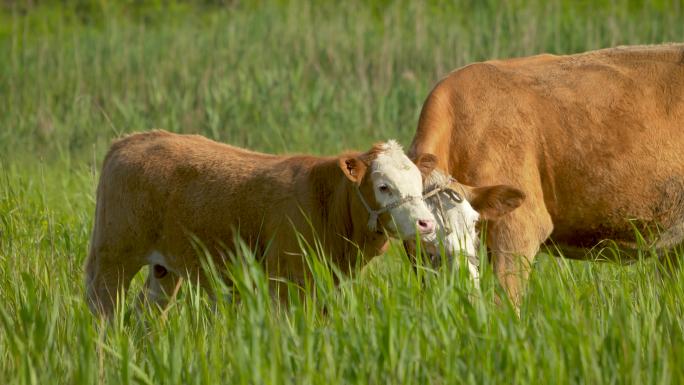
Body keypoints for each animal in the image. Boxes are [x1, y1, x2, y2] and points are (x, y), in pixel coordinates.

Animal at [87, 130, 438, 316]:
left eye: (419, 183)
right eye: (384, 186)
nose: (426, 224)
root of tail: (129, 141)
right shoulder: (284, 283)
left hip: (164, 270)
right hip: (111, 260)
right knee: (103, 312)